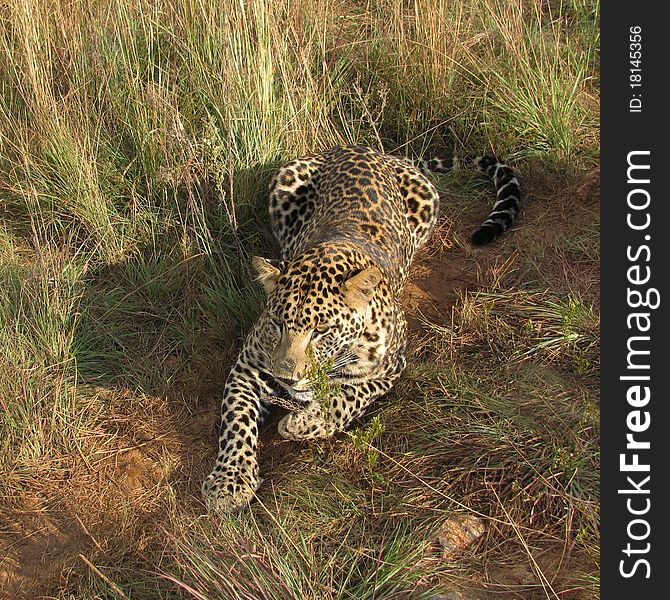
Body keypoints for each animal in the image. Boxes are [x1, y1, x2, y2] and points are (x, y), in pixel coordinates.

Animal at [202, 144, 524, 510]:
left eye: (321, 331)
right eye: (277, 324)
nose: (287, 379)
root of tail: (372, 150)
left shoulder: (390, 368)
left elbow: (349, 394)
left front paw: (307, 421)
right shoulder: (250, 365)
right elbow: (236, 420)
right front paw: (230, 481)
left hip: (426, 200)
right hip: (286, 178)